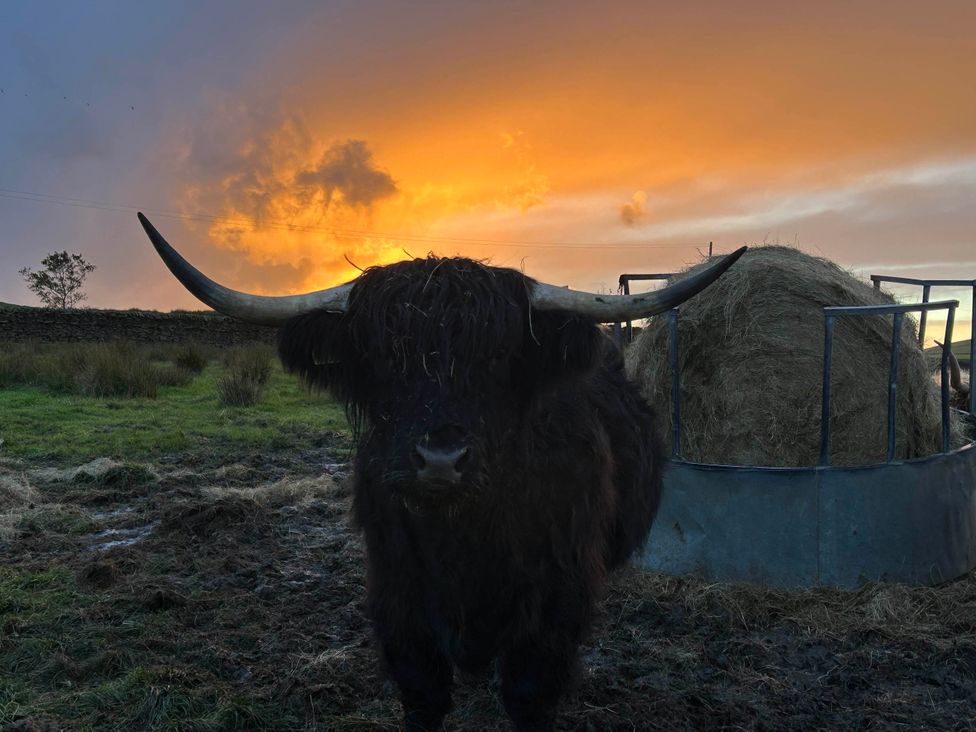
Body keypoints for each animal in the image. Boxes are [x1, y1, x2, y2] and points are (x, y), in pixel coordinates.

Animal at [137, 213, 744, 731]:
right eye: (382, 358)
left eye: (498, 357)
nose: (440, 461)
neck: (463, 536)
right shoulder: (397, 594)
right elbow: (423, 693)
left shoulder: (554, 603)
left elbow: (529, 695)